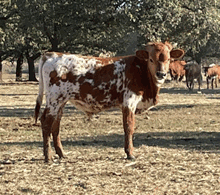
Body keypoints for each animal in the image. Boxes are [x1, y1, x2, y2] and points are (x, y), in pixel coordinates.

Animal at [34, 42, 185, 162]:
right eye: (151, 59)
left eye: (169, 59)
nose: (161, 74)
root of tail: (52, 54)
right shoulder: (129, 101)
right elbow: (129, 127)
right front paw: (130, 153)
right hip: (54, 99)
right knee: (46, 122)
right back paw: (48, 156)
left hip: (61, 101)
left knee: (56, 125)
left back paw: (61, 154)